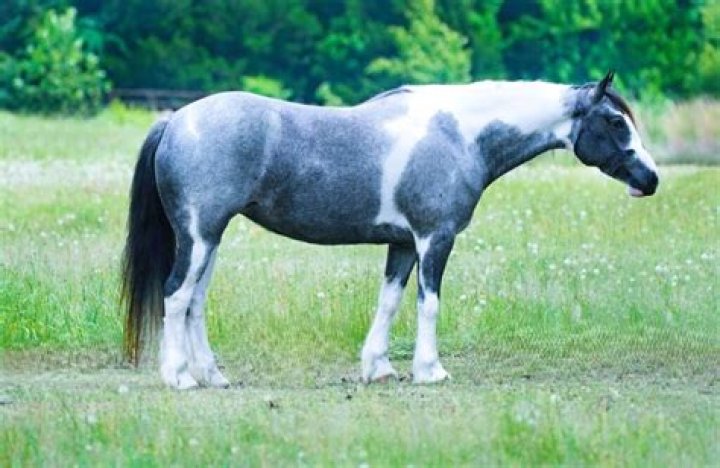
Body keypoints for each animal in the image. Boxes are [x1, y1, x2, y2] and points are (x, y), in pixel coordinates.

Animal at [121, 71, 658, 389]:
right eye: (615, 121)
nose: (650, 179)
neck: (459, 134)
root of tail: (176, 120)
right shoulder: (435, 239)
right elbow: (429, 304)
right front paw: (430, 369)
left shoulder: (402, 244)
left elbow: (390, 302)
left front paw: (377, 366)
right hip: (198, 238)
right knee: (176, 296)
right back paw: (180, 378)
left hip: (209, 239)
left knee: (195, 301)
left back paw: (212, 375)